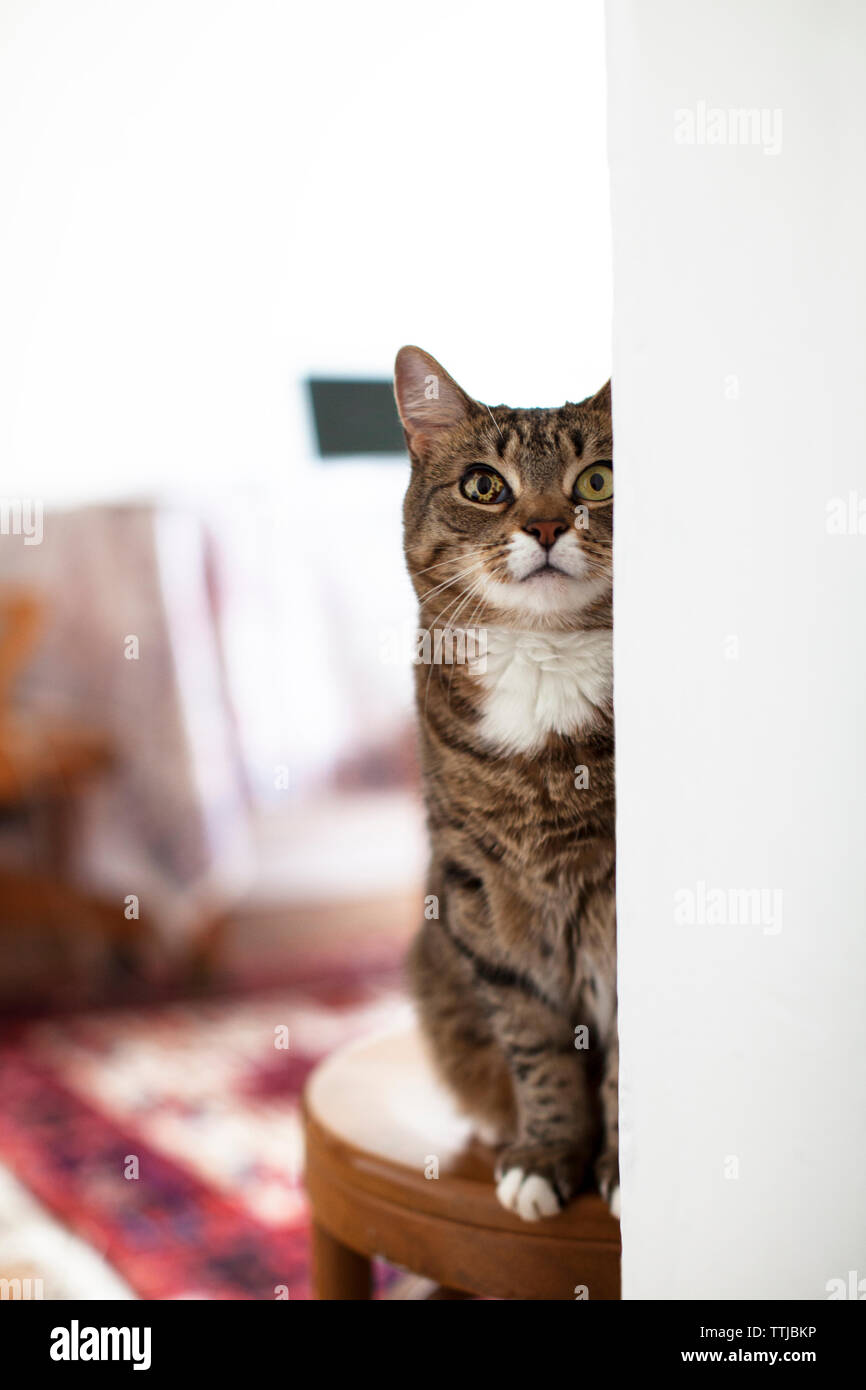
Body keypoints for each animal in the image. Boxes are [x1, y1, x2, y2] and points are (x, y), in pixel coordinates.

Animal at [391, 347, 617, 1217]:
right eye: (484, 485)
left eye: (598, 480)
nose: (550, 526)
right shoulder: (477, 891)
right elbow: (537, 1047)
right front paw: (549, 1154)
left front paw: (623, 1171)